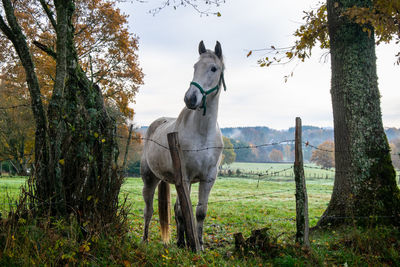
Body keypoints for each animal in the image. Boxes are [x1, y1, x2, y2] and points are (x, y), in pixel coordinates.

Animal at [141, 40, 227, 250]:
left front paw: (198, 244)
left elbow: (199, 212)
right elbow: (183, 211)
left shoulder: (208, 179)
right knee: (149, 210)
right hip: (149, 178)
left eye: (213, 68)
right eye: (195, 67)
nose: (190, 98)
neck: (203, 134)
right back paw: (145, 239)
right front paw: (187, 243)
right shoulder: (186, 177)